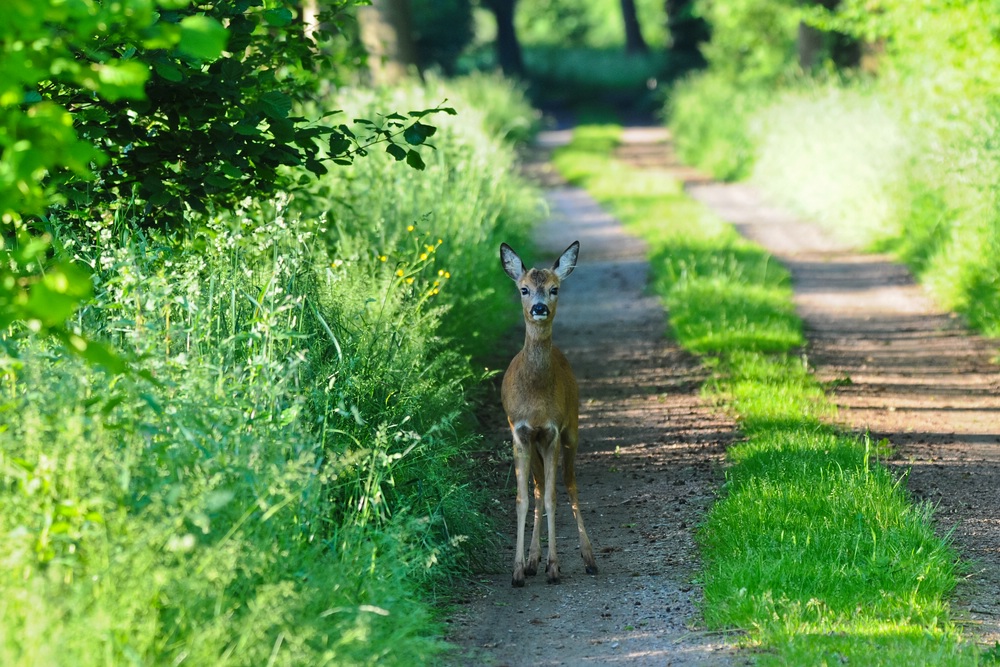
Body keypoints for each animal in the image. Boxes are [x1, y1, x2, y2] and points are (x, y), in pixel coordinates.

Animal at [499, 240, 598, 587]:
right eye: (524, 289)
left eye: (555, 289)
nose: (539, 308)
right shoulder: (519, 432)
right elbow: (523, 499)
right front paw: (518, 570)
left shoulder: (553, 431)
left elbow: (555, 496)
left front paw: (554, 567)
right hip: (537, 444)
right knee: (539, 487)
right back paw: (532, 561)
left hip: (573, 429)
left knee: (570, 484)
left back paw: (589, 559)